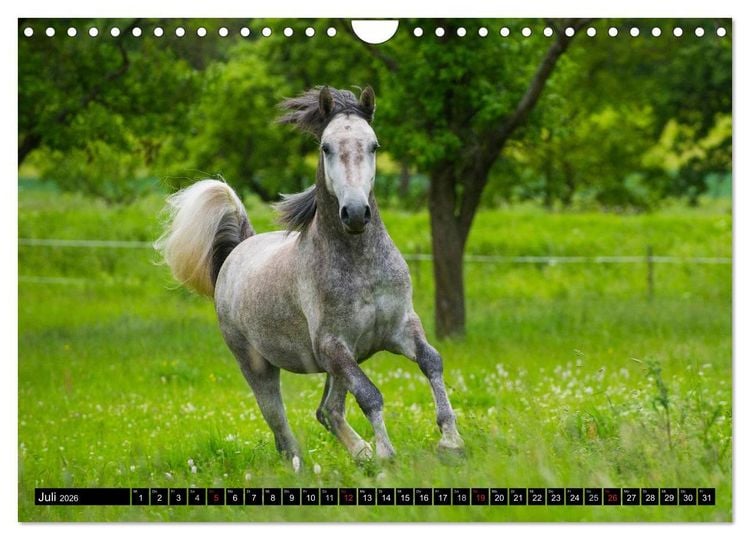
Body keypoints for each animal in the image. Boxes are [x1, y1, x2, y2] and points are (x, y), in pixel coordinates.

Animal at [156, 86, 464, 469]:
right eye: (326, 147)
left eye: (374, 145)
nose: (356, 213)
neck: (361, 266)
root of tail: (238, 249)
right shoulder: (333, 345)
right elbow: (370, 395)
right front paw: (387, 456)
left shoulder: (400, 327)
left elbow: (431, 362)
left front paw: (451, 442)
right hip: (258, 366)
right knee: (282, 431)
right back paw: (311, 467)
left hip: (340, 363)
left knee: (327, 411)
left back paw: (361, 455)